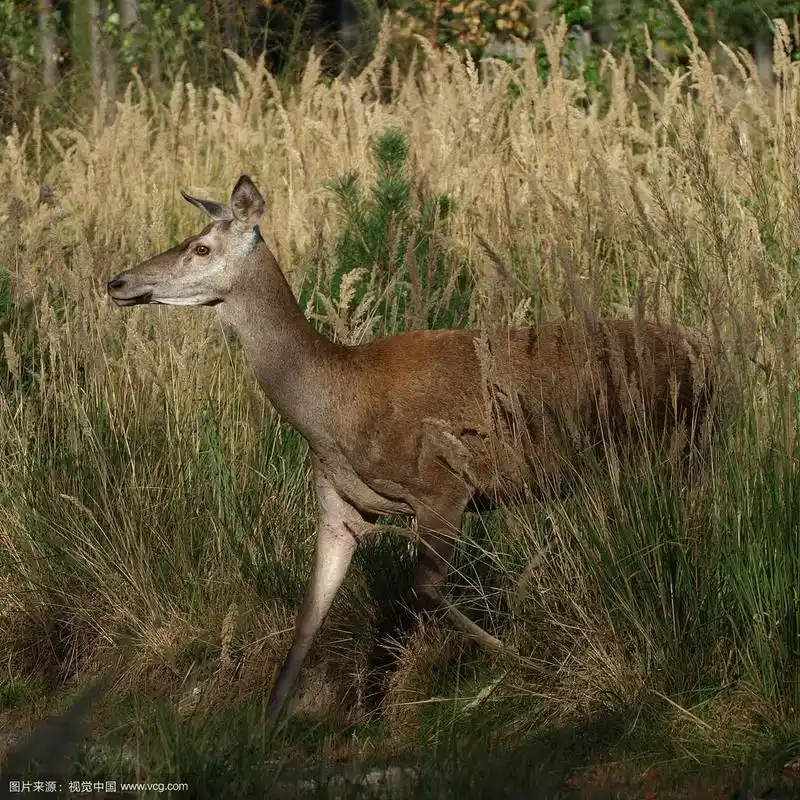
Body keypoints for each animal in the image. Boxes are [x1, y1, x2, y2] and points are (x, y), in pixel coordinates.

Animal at [107, 174, 716, 723]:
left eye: (201, 247)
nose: (117, 281)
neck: (334, 409)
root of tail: (706, 352)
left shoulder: (443, 486)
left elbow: (424, 588)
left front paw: (518, 657)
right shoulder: (338, 507)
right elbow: (309, 617)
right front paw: (264, 729)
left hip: (668, 444)